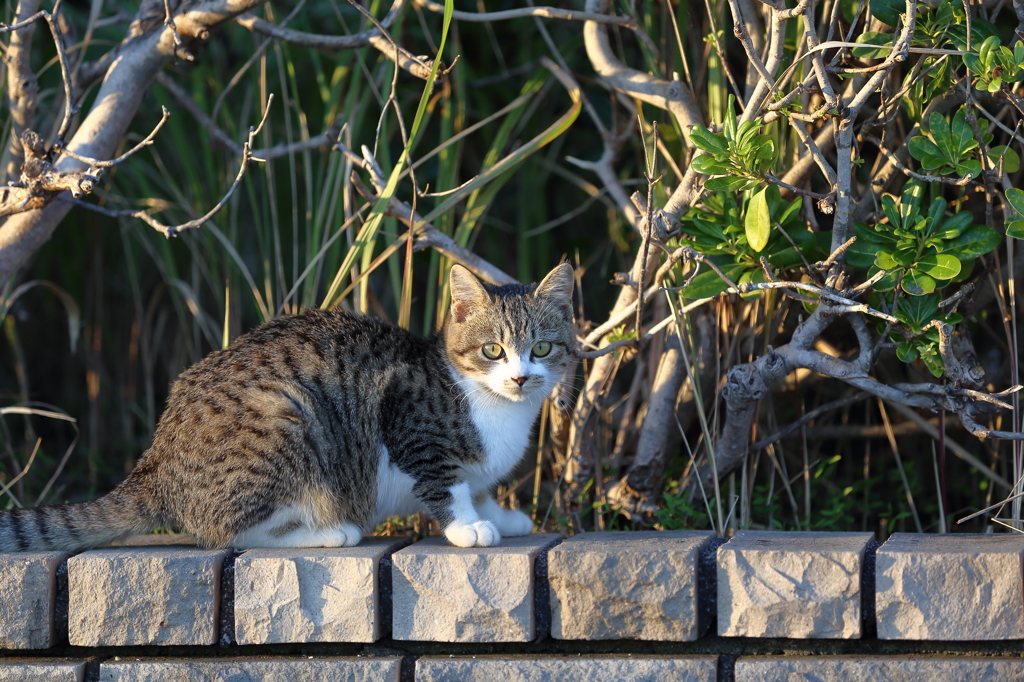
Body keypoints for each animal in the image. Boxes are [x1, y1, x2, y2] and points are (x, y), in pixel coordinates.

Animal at [0, 262, 577, 548]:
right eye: (493, 350)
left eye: (542, 348)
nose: (521, 376)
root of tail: (156, 465)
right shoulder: (410, 425)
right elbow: (447, 484)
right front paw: (466, 526)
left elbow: (476, 486)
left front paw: (498, 516)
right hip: (288, 418)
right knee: (233, 535)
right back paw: (329, 533)